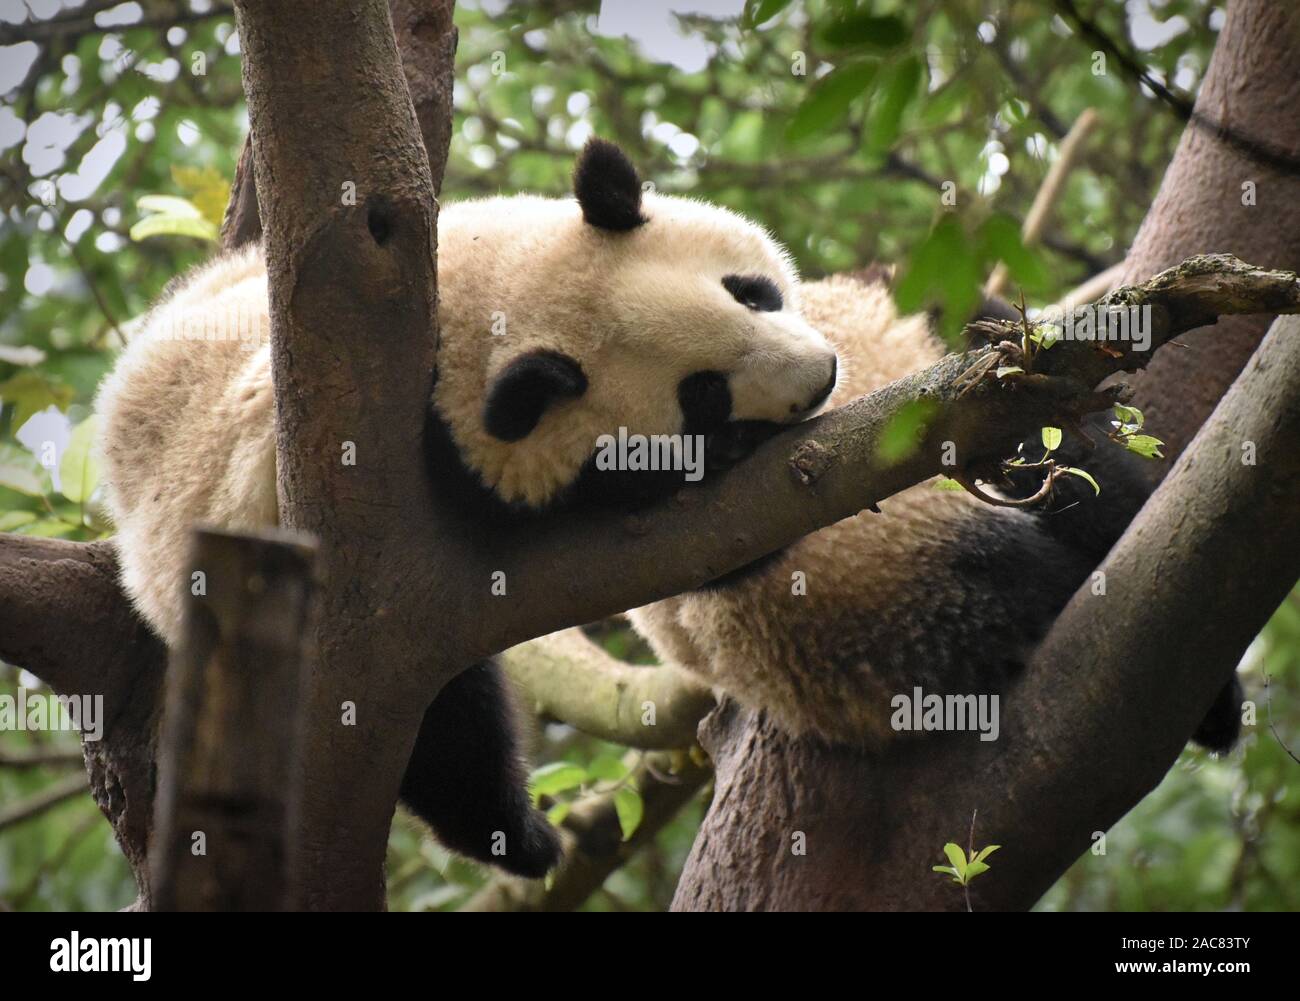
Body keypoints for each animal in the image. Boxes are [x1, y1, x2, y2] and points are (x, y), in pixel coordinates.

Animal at [94, 138, 839, 879]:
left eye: (748, 292)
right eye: (702, 397)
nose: (823, 374)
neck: (473, 305)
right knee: (450, 728)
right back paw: (518, 837)